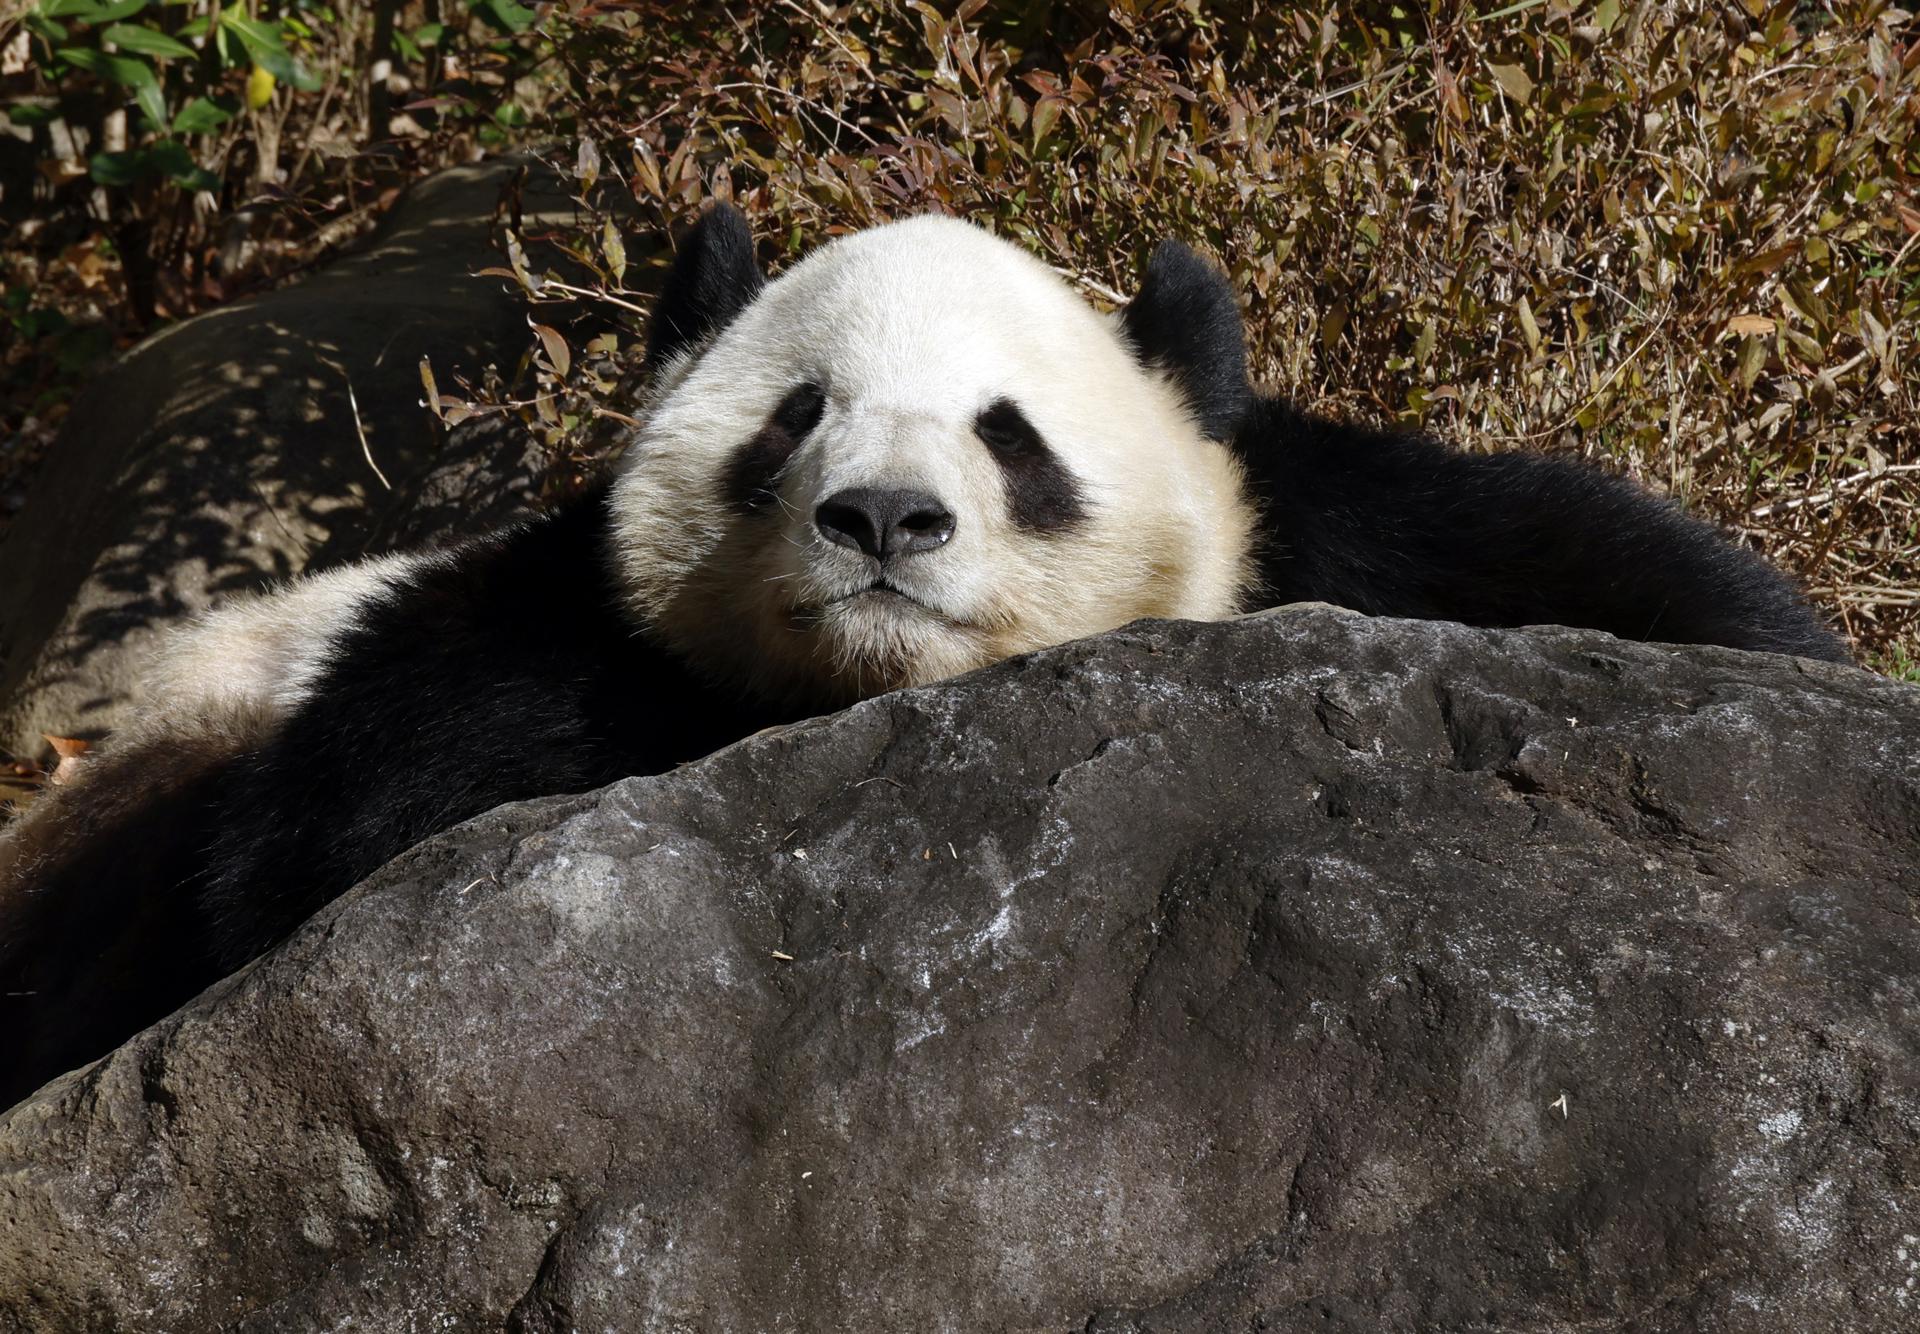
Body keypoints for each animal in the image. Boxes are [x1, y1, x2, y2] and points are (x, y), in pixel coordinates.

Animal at [0, 205, 1843, 1109]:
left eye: (1010, 434)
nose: (883, 517)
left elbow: (1636, 585)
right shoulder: (508, 642)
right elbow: (362, 822)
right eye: (795, 414)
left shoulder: (1335, 535)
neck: (882, 694)